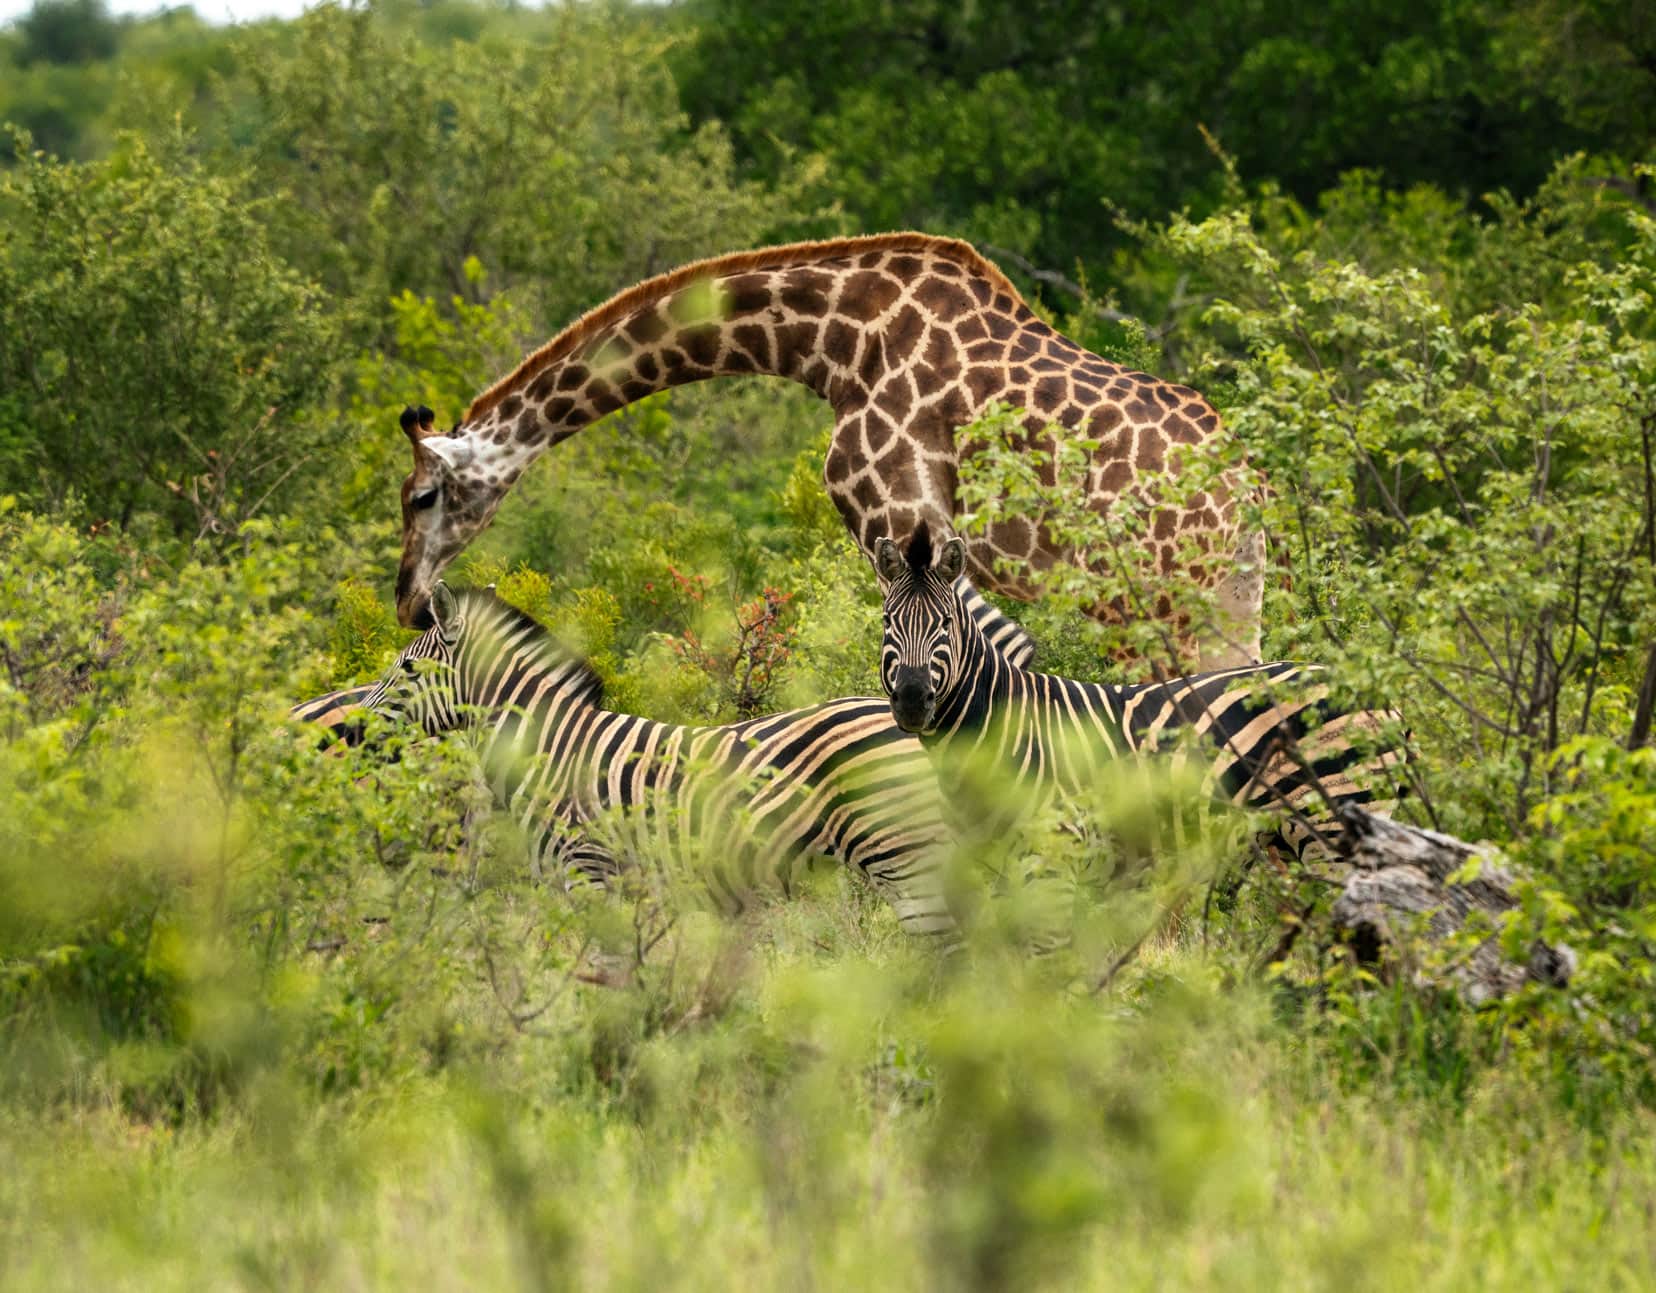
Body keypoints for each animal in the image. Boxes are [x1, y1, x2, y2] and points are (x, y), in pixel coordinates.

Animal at [397, 230, 1265, 665]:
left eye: (421, 496)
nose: (407, 601)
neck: (835, 342)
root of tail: (1248, 489)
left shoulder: (901, 517)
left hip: (1147, 604)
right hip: (1227, 603)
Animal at [874, 519, 1404, 860]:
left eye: (945, 624)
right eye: (887, 621)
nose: (913, 700)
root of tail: (1379, 698)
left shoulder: (1057, 848)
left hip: (1338, 822)